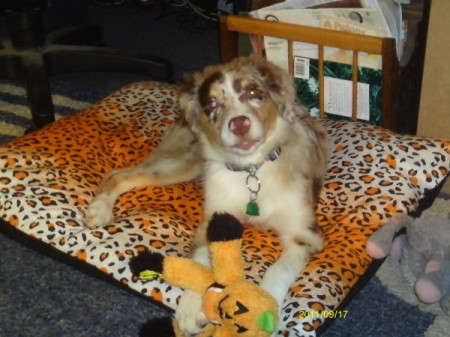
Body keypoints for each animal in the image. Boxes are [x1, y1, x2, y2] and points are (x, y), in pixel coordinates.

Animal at [85, 55, 330, 334]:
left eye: (254, 93)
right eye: (212, 103)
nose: (239, 124)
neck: (251, 171)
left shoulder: (304, 234)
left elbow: (278, 270)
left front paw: (263, 311)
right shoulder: (212, 219)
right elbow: (202, 260)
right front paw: (191, 307)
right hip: (186, 162)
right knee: (118, 175)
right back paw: (98, 210)